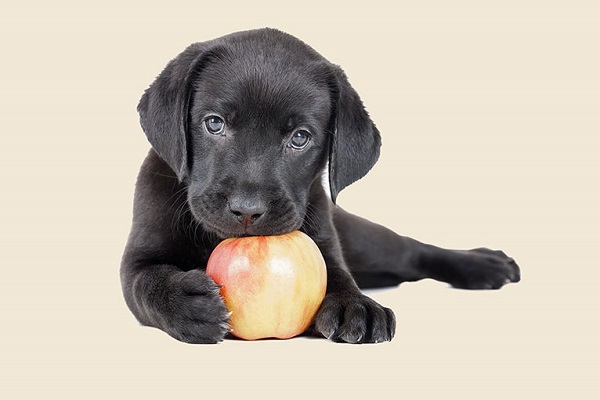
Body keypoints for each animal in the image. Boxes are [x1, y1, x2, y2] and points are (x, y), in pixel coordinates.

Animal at [119, 29, 516, 346]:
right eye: (214, 124)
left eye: (300, 138)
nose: (247, 209)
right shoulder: (137, 260)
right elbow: (145, 283)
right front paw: (185, 302)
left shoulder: (326, 240)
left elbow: (337, 275)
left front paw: (356, 305)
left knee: (410, 251)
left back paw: (484, 263)